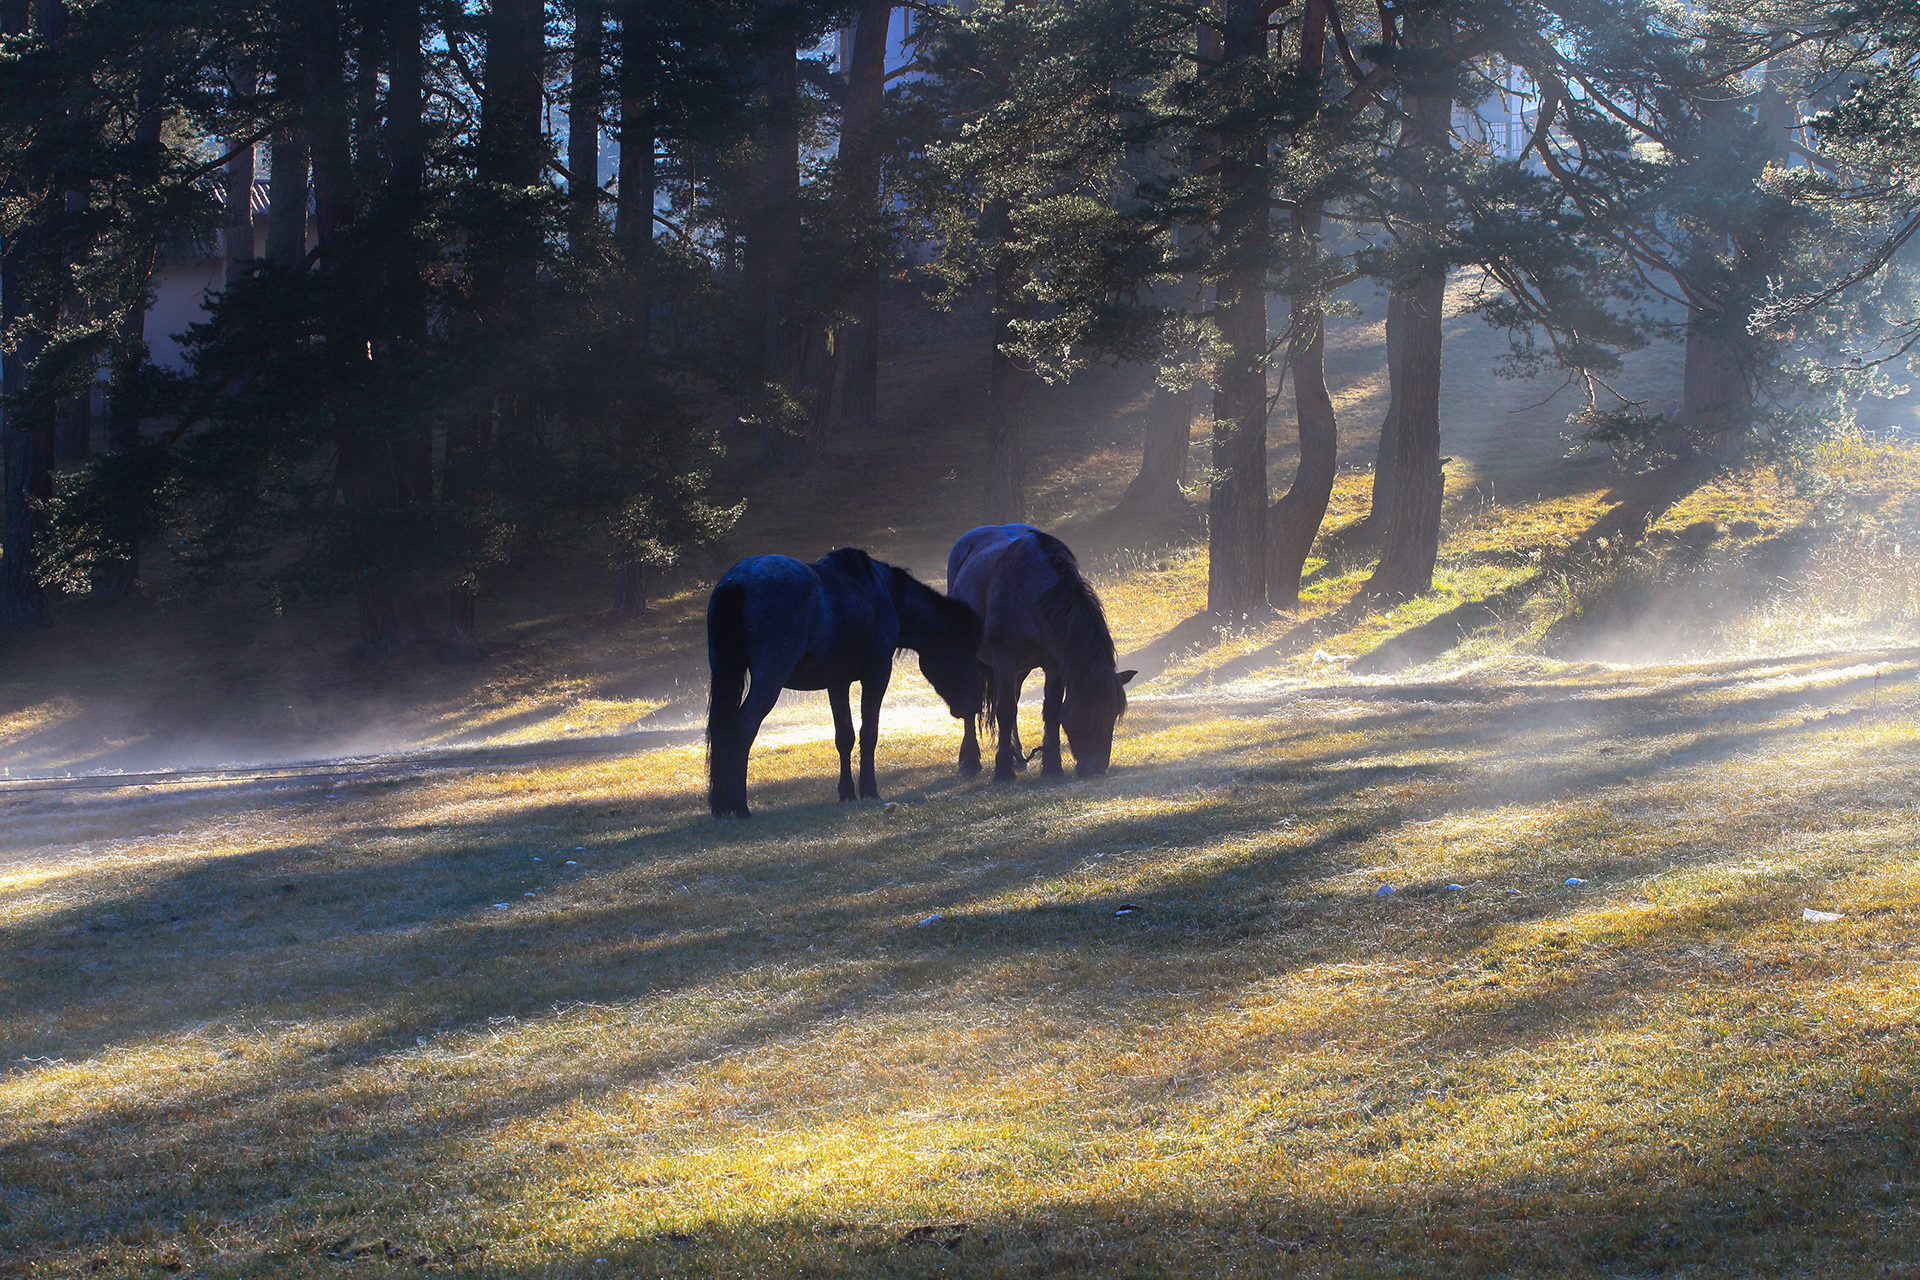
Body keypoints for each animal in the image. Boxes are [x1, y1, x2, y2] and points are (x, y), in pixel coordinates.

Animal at [706, 545, 983, 817]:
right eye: (967, 654)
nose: (975, 705)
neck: (884, 594)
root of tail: (737, 581)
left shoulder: (837, 682)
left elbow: (844, 736)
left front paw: (847, 793)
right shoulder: (877, 675)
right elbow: (868, 733)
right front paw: (869, 790)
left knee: (722, 728)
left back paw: (722, 806)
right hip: (769, 678)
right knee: (742, 727)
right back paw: (739, 806)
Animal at [948, 521, 1136, 782]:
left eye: (1113, 716)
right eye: (1089, 713)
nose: (1097, 768)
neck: (1035, 594)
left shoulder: (1053, 665)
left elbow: (1051, 710)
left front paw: (1052, 766)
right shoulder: (1003, 659)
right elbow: (1005, 711)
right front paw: (1002, 770)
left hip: (1020, 670)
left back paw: (1018, 757)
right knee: (976, 706)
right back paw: (970, 762)